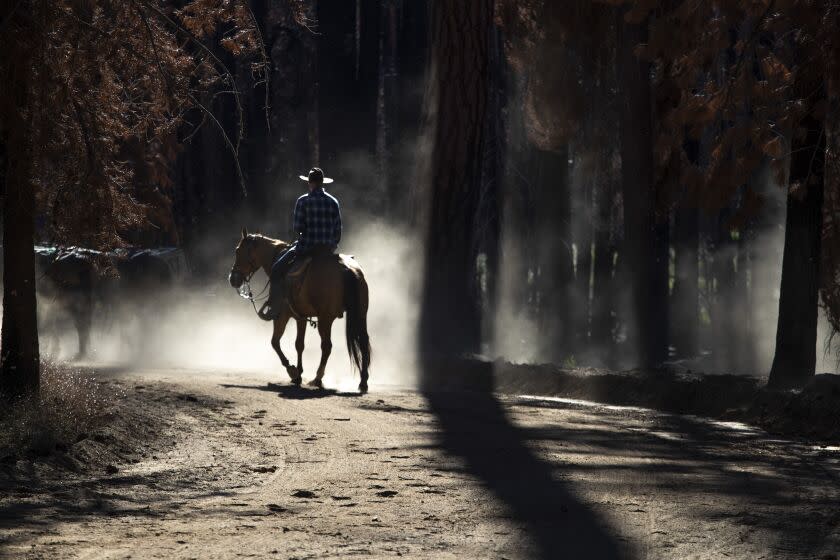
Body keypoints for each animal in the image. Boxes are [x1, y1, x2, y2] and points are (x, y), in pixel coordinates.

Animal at [226, 228, 370, 394]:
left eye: (238, 251)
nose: (233, 279)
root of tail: (347, 268)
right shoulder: (301, 317)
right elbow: (299, 344)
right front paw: (299, 373)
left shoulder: (282, 316)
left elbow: (275, 342)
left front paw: (293, 371)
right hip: (361, 315)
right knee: (363, 342)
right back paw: (363, 382)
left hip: (325, 319)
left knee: (326, 346)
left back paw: (317, 379)